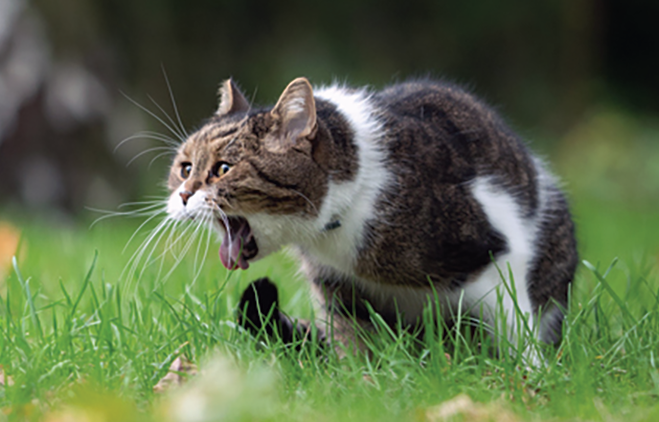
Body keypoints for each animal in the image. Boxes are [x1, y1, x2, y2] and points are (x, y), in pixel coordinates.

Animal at [164, 76, 576, 362]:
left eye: (223, 169)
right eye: (185, 168)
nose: (183, 196)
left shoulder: (496, 248)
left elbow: (513, 324)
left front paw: (532, 374)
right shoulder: (337, 286)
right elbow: (355, 342)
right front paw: (362, 384)